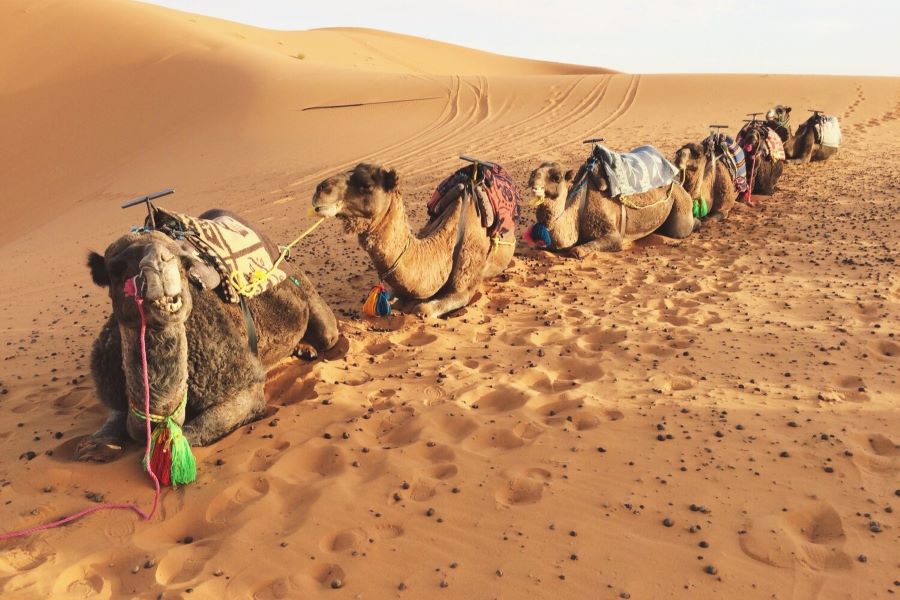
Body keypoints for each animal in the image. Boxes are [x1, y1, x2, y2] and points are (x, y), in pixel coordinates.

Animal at [75, 211, 338, 464]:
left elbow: (186, 435)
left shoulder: (244, 387)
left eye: (182, 261)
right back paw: (304, 349)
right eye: (115, 269)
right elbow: (111, 425)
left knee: (328, 333)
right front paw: (95, 446)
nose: (159, 263)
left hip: (309, 297)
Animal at [524, 155, 700, 258]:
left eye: (556, 177)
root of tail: (676, 182)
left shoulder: (611, 232)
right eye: (535, 171)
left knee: (681, 229)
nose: (532, 179)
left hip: (679, 200)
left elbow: (577, 250)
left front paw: (578, 251)